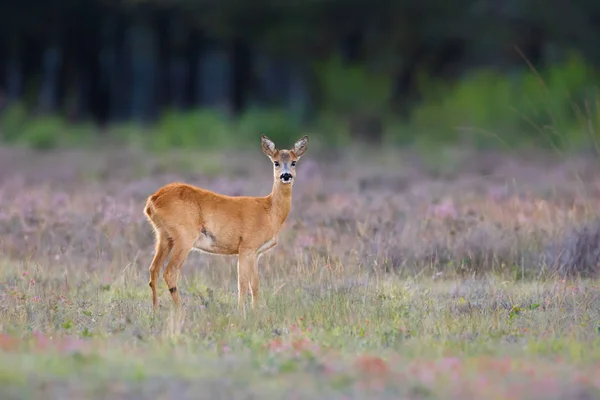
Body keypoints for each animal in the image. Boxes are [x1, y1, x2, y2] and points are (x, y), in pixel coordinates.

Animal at [142, 134, 308, 312]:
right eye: (276, 162)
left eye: (294, 162)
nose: (286, 175)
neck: (269, 211)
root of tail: (152, 200)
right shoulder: (246, 247)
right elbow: (243, 284)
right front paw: (241, 312)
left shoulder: (256, 253)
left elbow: (255, 286)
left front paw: (256, 312)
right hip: (184, 236)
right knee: (170, 272)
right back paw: (181, 312)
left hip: (164, 236)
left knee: (153, 269)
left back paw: (156, 310)